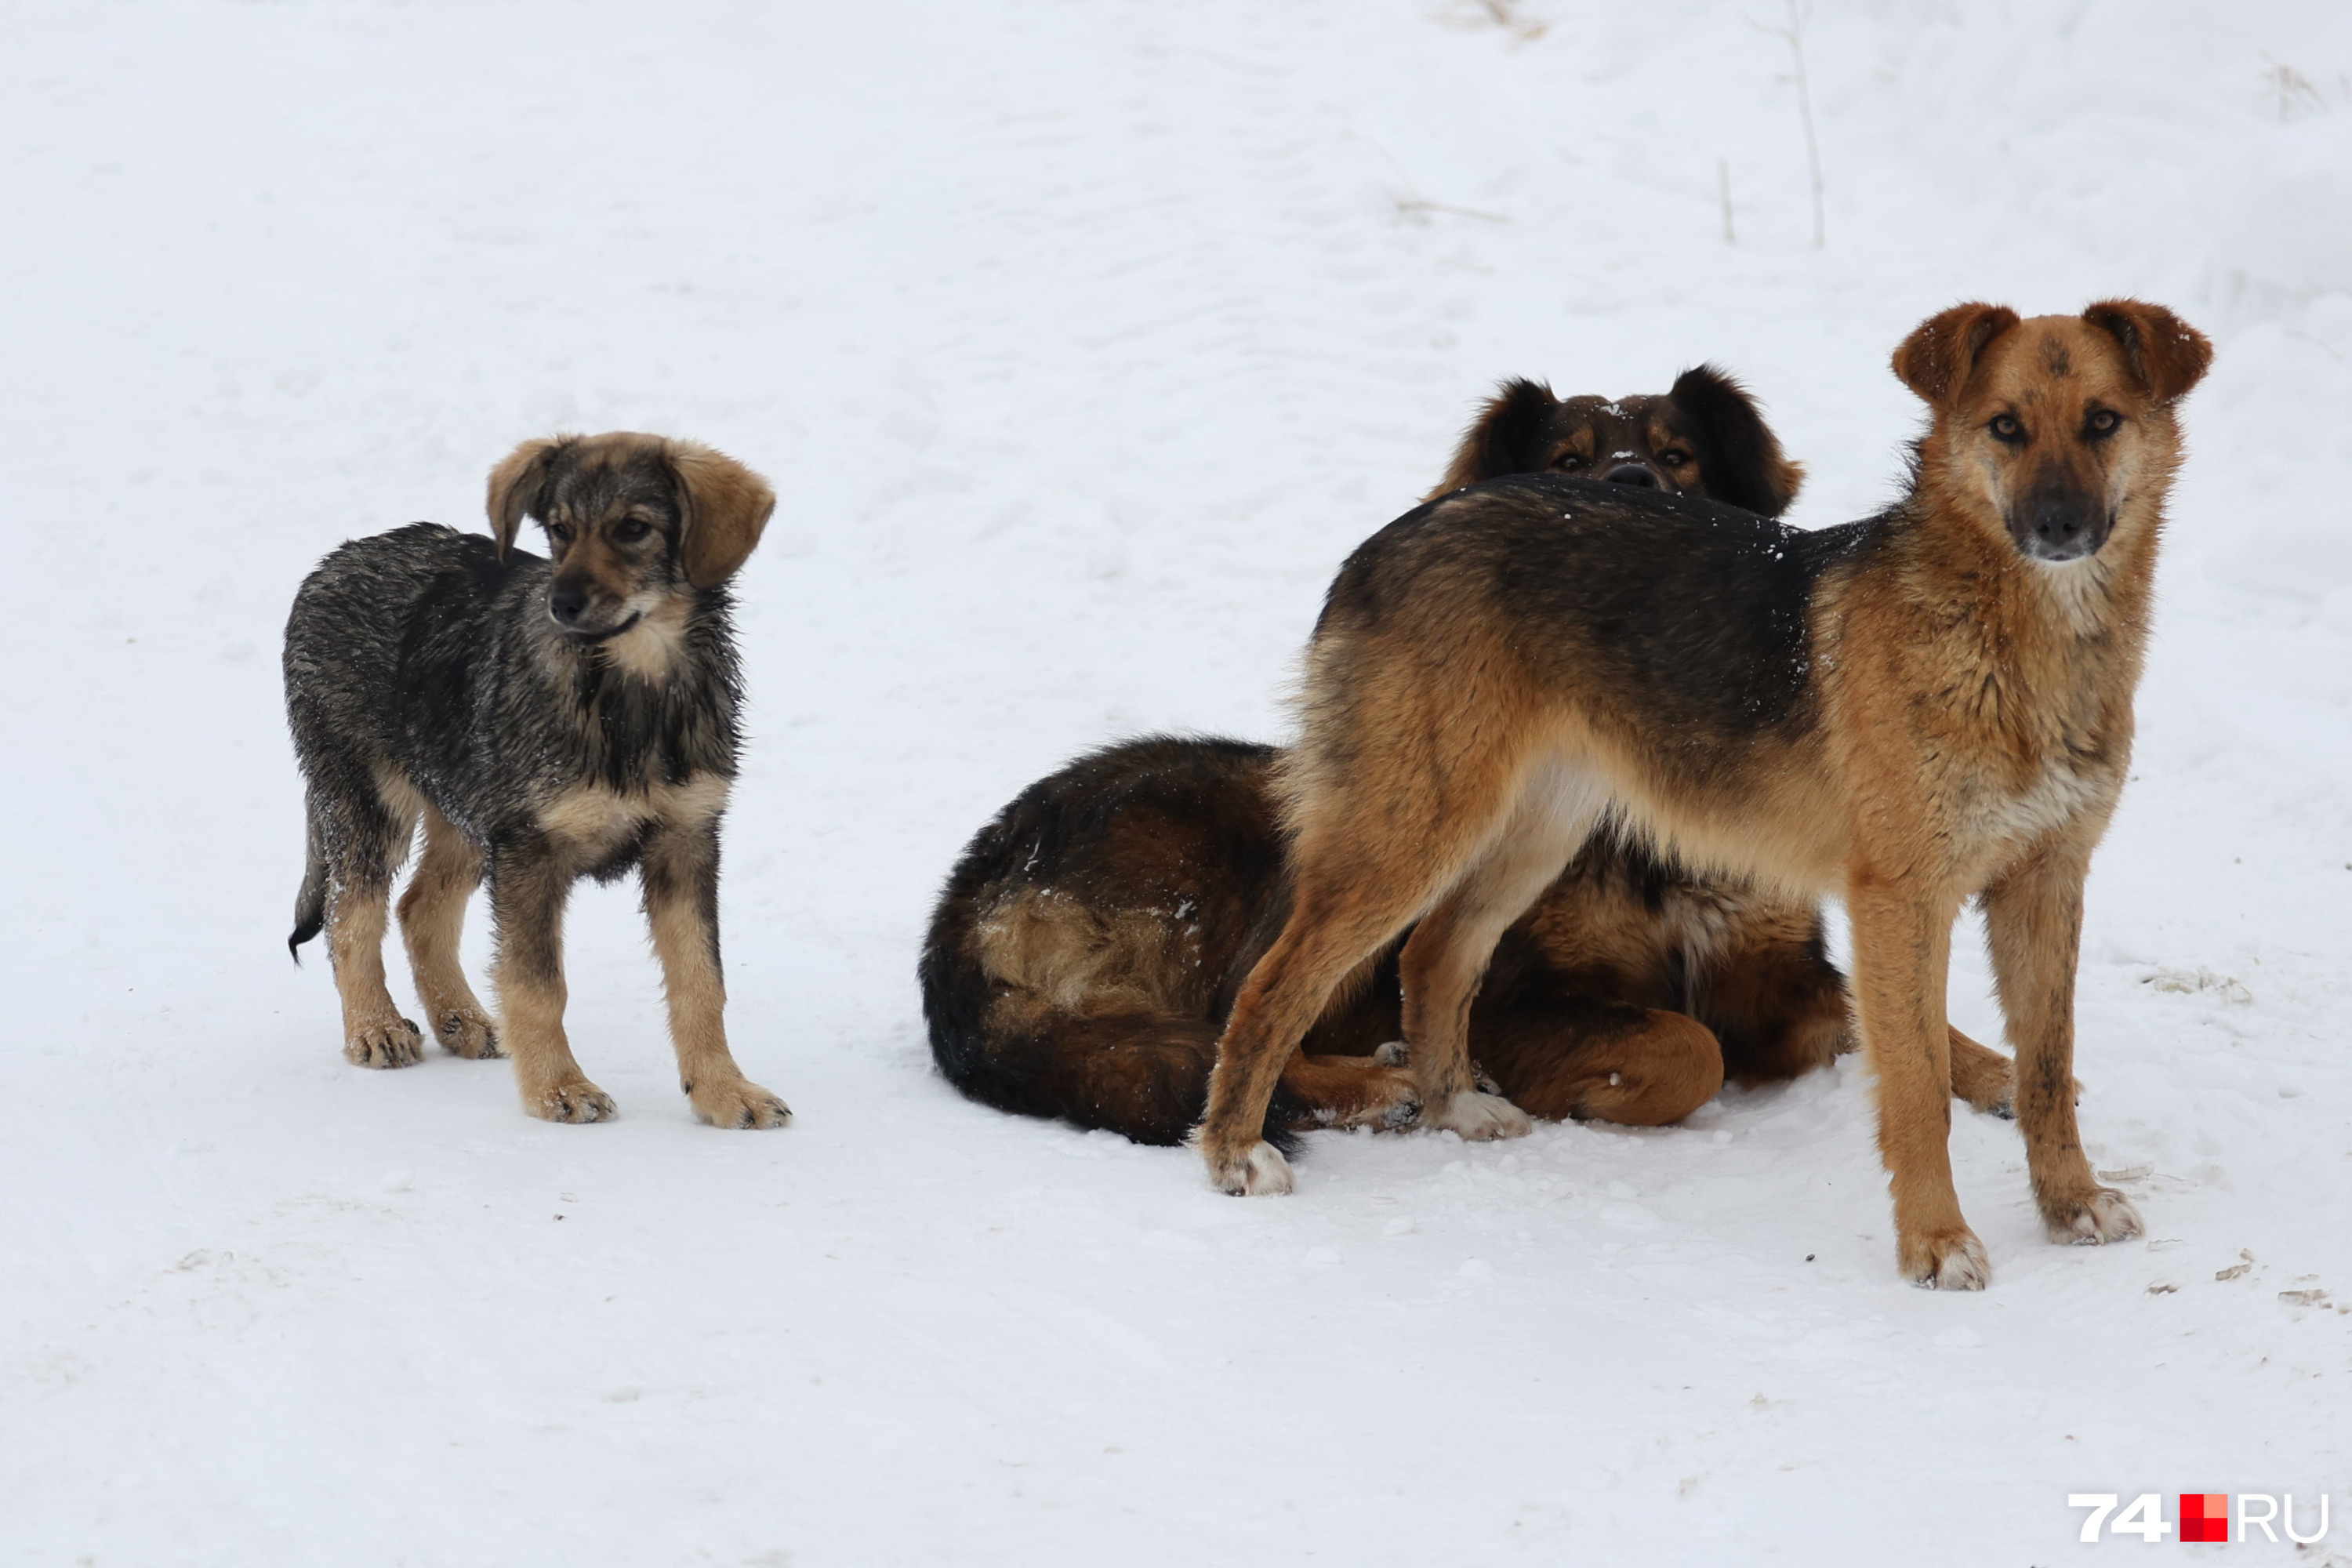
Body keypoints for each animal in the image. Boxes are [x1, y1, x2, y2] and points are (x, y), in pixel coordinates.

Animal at [280, 432, 795, 1128]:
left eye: (633, 529)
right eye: (558, 530)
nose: (562, 604)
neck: (628, 692)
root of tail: (332, 563)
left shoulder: (686, 841)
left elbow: (701, 981)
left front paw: (723, 1090)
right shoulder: (532, 852)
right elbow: (538, 984)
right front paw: (558, 1088)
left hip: (465, 809)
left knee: (420, 907)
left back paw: (460, 1019)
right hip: (367, 797)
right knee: (351, 913)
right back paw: (375, 1026)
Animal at [927, 371, 2013, 1152]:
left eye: (1679, 456)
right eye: (1566, 459)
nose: (1632, 488)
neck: (1647, 846)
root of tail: (976, 876)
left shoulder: (1778, 967)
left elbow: (1918, 1033)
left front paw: (2009, 1080)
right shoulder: (1528, 1001)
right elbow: (1687, 1046)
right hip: (1350, 842)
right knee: (1249, 1016)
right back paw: (1377, 1085)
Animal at [1204, 300, 2211, 1298]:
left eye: (2102, 422)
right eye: (2005, 426)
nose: (2059, 525)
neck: (2011, 642)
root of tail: (1381, 544)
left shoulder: (2046, 882)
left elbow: (2047, 1069)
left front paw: (2070, 1203)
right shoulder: (1902, 902)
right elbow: (1919, 1086)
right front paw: (1935, 1241)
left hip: (1534, 831)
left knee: (1436, 953)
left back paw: (1456, 1104)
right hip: (1410, 832)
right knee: (1269, 986)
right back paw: (1235, 1151)